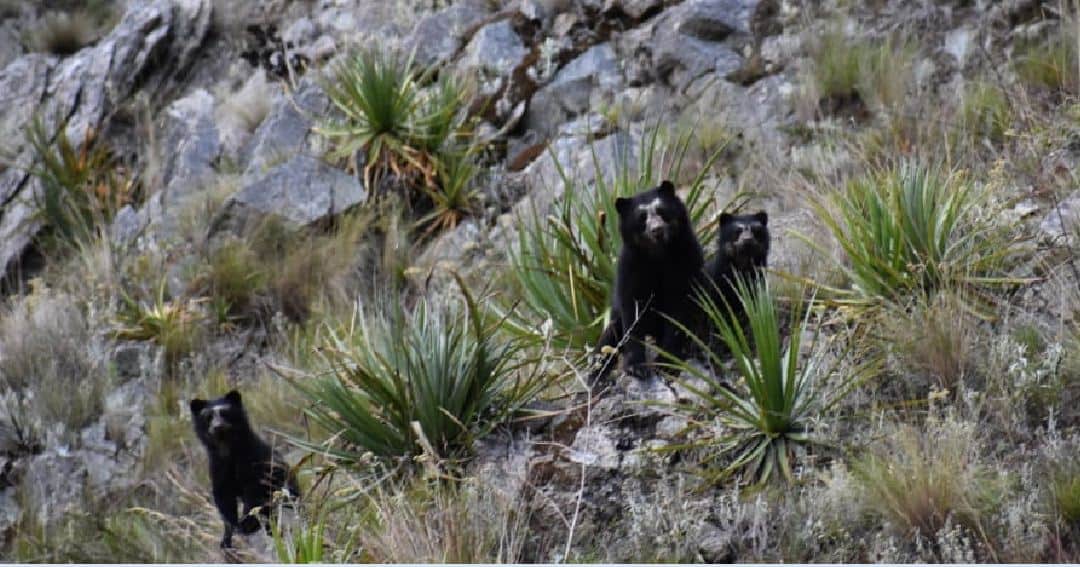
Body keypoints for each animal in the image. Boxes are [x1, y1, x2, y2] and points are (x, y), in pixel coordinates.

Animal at [189, 390, 298, 546]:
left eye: (225, 412)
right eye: (207, 417)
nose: (218, 426)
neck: (228, 449)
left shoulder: (254, 461)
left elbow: (254, 492)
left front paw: (247, 523)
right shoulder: (218, 468)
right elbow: (224, 498)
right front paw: (228, 536)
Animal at [591, 181, 708, 380]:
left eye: (662, 211)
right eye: (641, 218)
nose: (657, 230)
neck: (658, 254)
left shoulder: (686, 259)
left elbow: (678, 311)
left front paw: (667, 363)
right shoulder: (631, 266)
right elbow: (632, 313)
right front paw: (636, 367)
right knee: (610, 336)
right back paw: (596, 375)